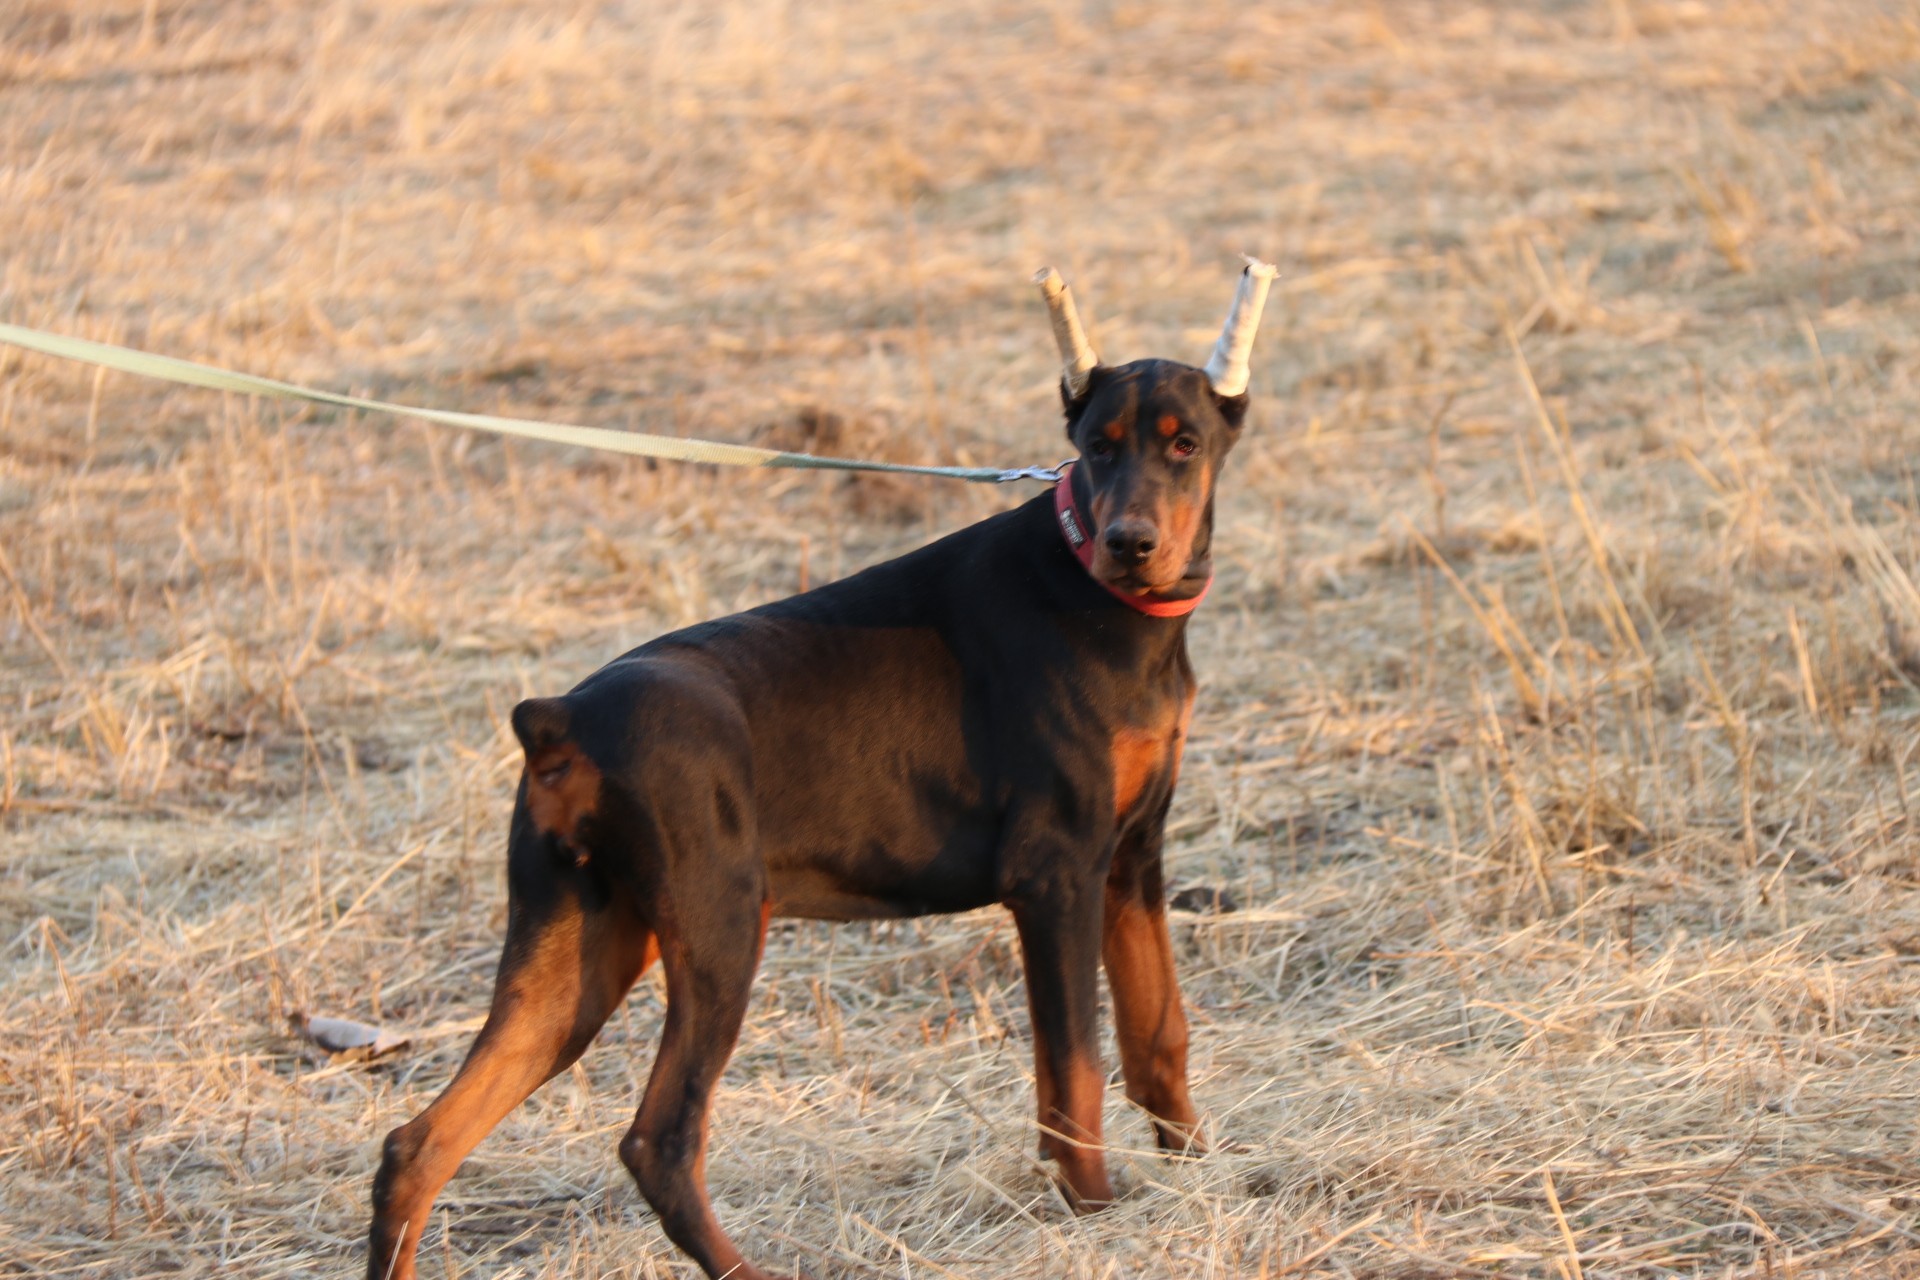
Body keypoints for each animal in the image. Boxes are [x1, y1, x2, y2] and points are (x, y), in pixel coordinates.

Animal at [368, 262, 1282, 1280]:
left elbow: (1159, 1033)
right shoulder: (1055, 875)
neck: (1104, 602)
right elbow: (1072, 1074)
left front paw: (1200, 1169)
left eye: (1185, 443)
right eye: (1095, 447)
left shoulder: (1131, 858)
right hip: (721, 927)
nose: (1131, 543)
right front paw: (1095, 1214)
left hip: (577, 950)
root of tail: (560, 719)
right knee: (659, 1140)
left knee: (418, 1145)